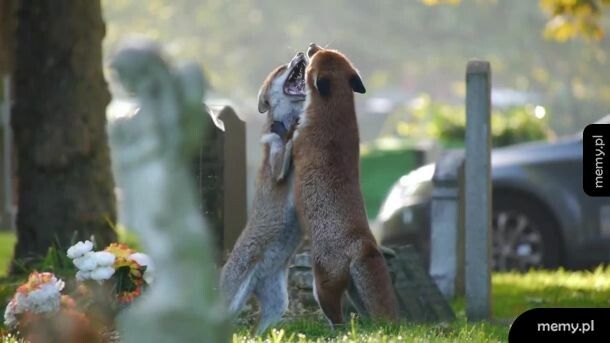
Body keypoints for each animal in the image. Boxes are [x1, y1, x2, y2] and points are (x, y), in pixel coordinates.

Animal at [218, 52, 306, 334]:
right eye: (281, 68)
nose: (300, 53)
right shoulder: (277, 169)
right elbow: (284, 143)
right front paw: (288, 132)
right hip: (231, 303)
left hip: (279, 305)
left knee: (258, 331)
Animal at [290, 43, 396, 326]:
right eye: (323, 50)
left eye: (315, 56)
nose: (311, 45)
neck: (334, 114)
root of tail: (364, 242)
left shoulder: (296, 146)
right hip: (355, 293)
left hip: (320, 287)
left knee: (337, 319)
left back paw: (335, 330)